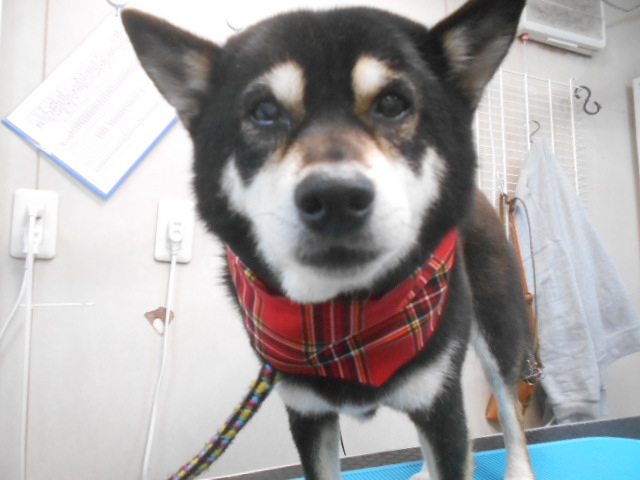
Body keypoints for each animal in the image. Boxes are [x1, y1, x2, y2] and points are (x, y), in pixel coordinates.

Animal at [123, 0, 535, 478]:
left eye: (393, 103)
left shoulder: (440, 403)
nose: (336, 197)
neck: (343, 319)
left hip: (497, 326)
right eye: (264, 111)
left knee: (512, 411)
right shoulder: (306, 412)